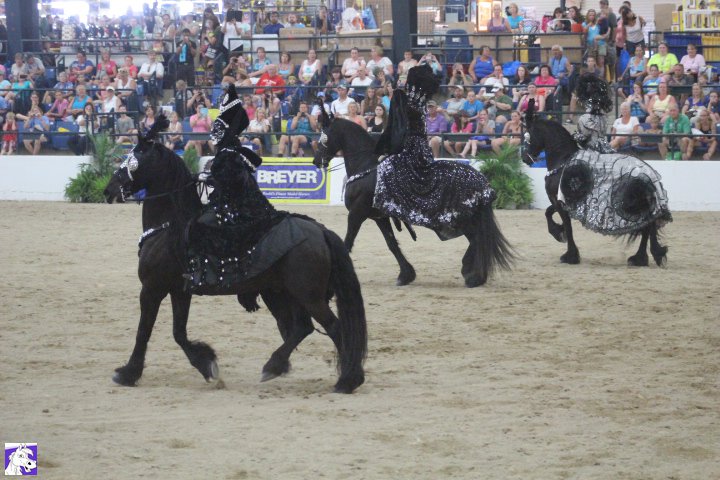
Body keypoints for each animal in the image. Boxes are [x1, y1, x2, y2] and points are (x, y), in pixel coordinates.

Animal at [103, 131, 367, 394]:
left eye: (131, 160)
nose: (108, 189)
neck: (168, 228)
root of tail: (320, 231)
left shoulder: (151, 289)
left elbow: (143, 332)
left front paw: (128, 373)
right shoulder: (179, 291)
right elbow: (179, 333)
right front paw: (206, 364)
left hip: (307, 295)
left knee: (333, 328)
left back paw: (346, 380)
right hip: (283, 292)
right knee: (303, 328)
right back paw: (278, 366)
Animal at [313, 117, 513, 288]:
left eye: (323, 137)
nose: (315, 161)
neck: (367, 168)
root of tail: (481, 181)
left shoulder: (356, 214)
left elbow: (347, 242)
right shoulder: (380, 217)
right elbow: (392, 244)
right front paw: (406, 275)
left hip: (462, 219)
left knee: (478, 239)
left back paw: (472, 274)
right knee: (480, 239)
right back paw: (476, 275)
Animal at [522, 113, 671, 266]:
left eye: (527, 136)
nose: (524, 157)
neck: (563, 160)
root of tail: (651, 174)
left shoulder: (560, 202)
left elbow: (566, 226)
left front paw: (569, 254)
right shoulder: (560, 201)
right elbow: (549, 212)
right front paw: (559, 233)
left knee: (647, 228)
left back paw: (639, 258)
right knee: (648, 228)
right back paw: (643, 258)